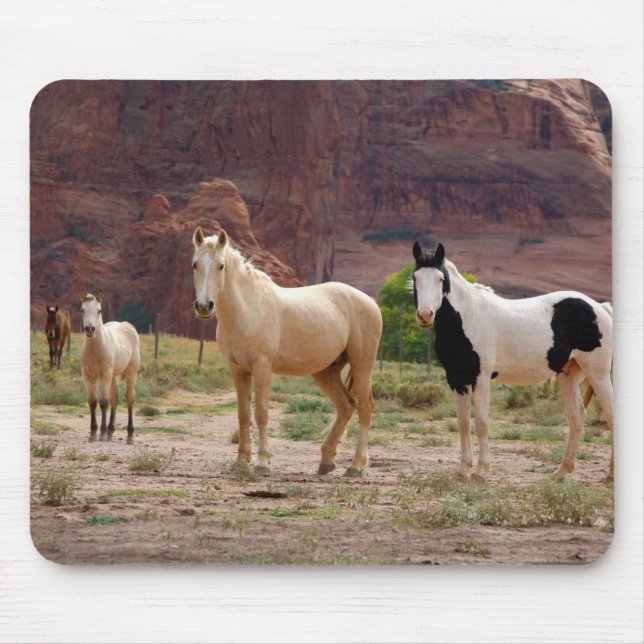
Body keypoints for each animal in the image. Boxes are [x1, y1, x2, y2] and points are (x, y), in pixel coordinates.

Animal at [79, 289, 141, 444]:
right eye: (82, 310)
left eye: (99, 310)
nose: (90, 329)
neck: (95, 350)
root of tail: (129, 327)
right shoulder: (87, 376)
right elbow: (93, 401)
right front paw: (93, 434)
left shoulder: (105, 374)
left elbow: (103, 402)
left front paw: (101, 434)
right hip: (112, 376)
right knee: (115, 398)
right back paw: (110, 432)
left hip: (131, 372)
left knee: (129, 399)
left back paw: (130, 436)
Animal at [191, 227, 382, 477]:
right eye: (195, 264)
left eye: (221, 265)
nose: (204, 306)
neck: (247, 309)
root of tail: (370, 302)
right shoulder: (238, 370)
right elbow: (243, 414)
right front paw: (240, 462)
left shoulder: (262, 367)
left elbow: (261, 412)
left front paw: (262, 464)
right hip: (325, 372)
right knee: (346, 406)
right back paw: (326, 462)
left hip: (362, 365)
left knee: (365, 408)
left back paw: (356, 466)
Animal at [411, 241, 614, 483]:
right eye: (415, 277)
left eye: (440, 279)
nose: (425, 315)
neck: (467, 317)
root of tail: (600, 307)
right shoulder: (456, 379)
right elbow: (463, 423)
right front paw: (463, 470)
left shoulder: (481, 378)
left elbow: (481, 423)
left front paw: (481, 472)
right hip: (568, 374)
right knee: (577, 417)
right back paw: (561, 472)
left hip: (598, 373)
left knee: (611, 415)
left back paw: (610, 476)